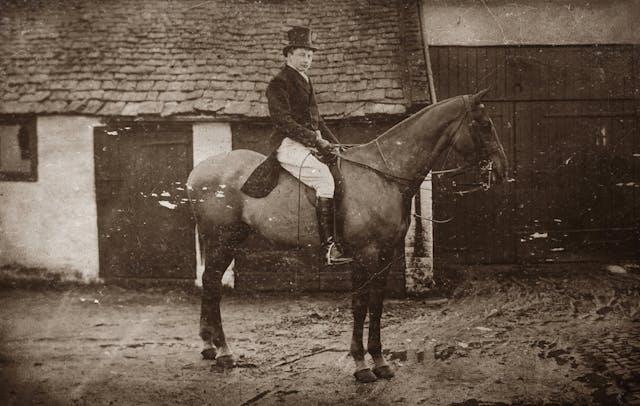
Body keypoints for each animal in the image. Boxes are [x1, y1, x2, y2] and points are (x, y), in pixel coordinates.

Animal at [186, 89, 509, 382]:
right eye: (484, 124)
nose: (502, 170)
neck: (384, 175)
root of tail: (198, 172)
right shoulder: (364, 255)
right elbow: (359, 306)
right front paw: (361, 365)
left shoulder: (386, 255)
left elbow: (376, 306)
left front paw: (379, 361)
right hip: (222, 240)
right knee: (212, 283)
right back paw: (224, 352)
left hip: (229, 239)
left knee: (210, 282)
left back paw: (208, 345)